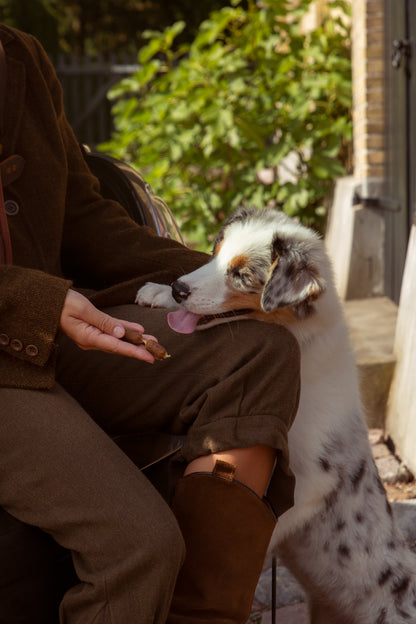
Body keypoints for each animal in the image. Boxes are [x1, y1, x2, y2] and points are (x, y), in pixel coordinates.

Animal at [136, 208, 416, 624]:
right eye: (215, 253)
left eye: (241, 275)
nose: (178, 288)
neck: (300, 340)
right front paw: (156, 292)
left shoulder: (310, 480)